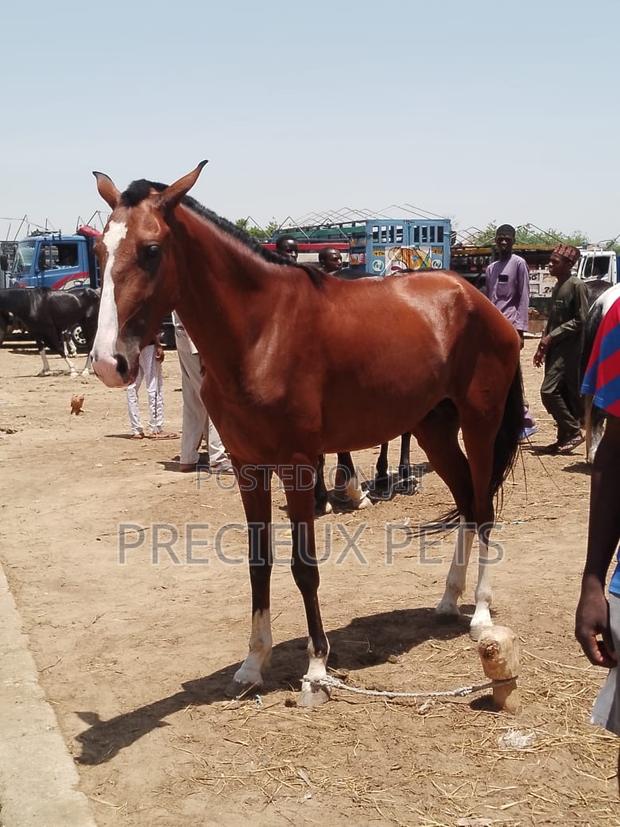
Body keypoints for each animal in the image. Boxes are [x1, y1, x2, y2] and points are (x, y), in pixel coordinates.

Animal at [90, 163, 524, 707]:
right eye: (101, 251)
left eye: (150, 250)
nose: (108, 362)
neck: (262, 331)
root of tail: (475, 299)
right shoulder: (247, 465)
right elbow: (258, 563)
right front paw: (253, 664)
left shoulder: (297, 465)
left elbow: (304, 566)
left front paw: (317, 669)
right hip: (434, 428)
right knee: (466, 502)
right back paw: (448, 599)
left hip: (479, 423)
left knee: (483, 509)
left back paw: (480, 616)